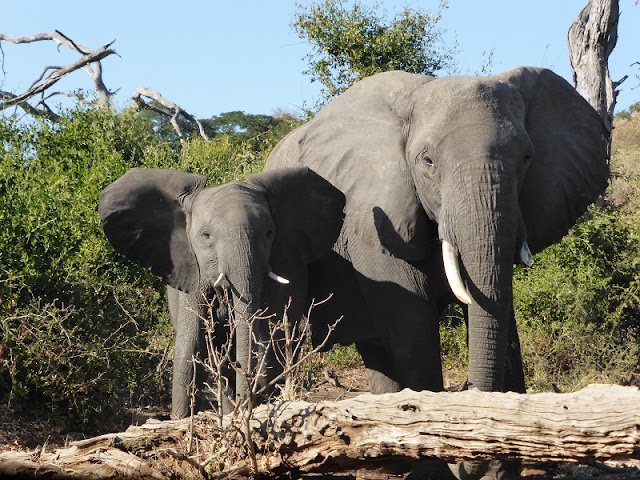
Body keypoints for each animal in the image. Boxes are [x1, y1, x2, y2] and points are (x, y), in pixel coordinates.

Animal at [101, 167, 344, 418]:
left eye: (269, 233)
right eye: (206, 236)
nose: (245, 400)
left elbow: (271, 339)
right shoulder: (193, 271)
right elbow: (189, 349)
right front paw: (181, 420)